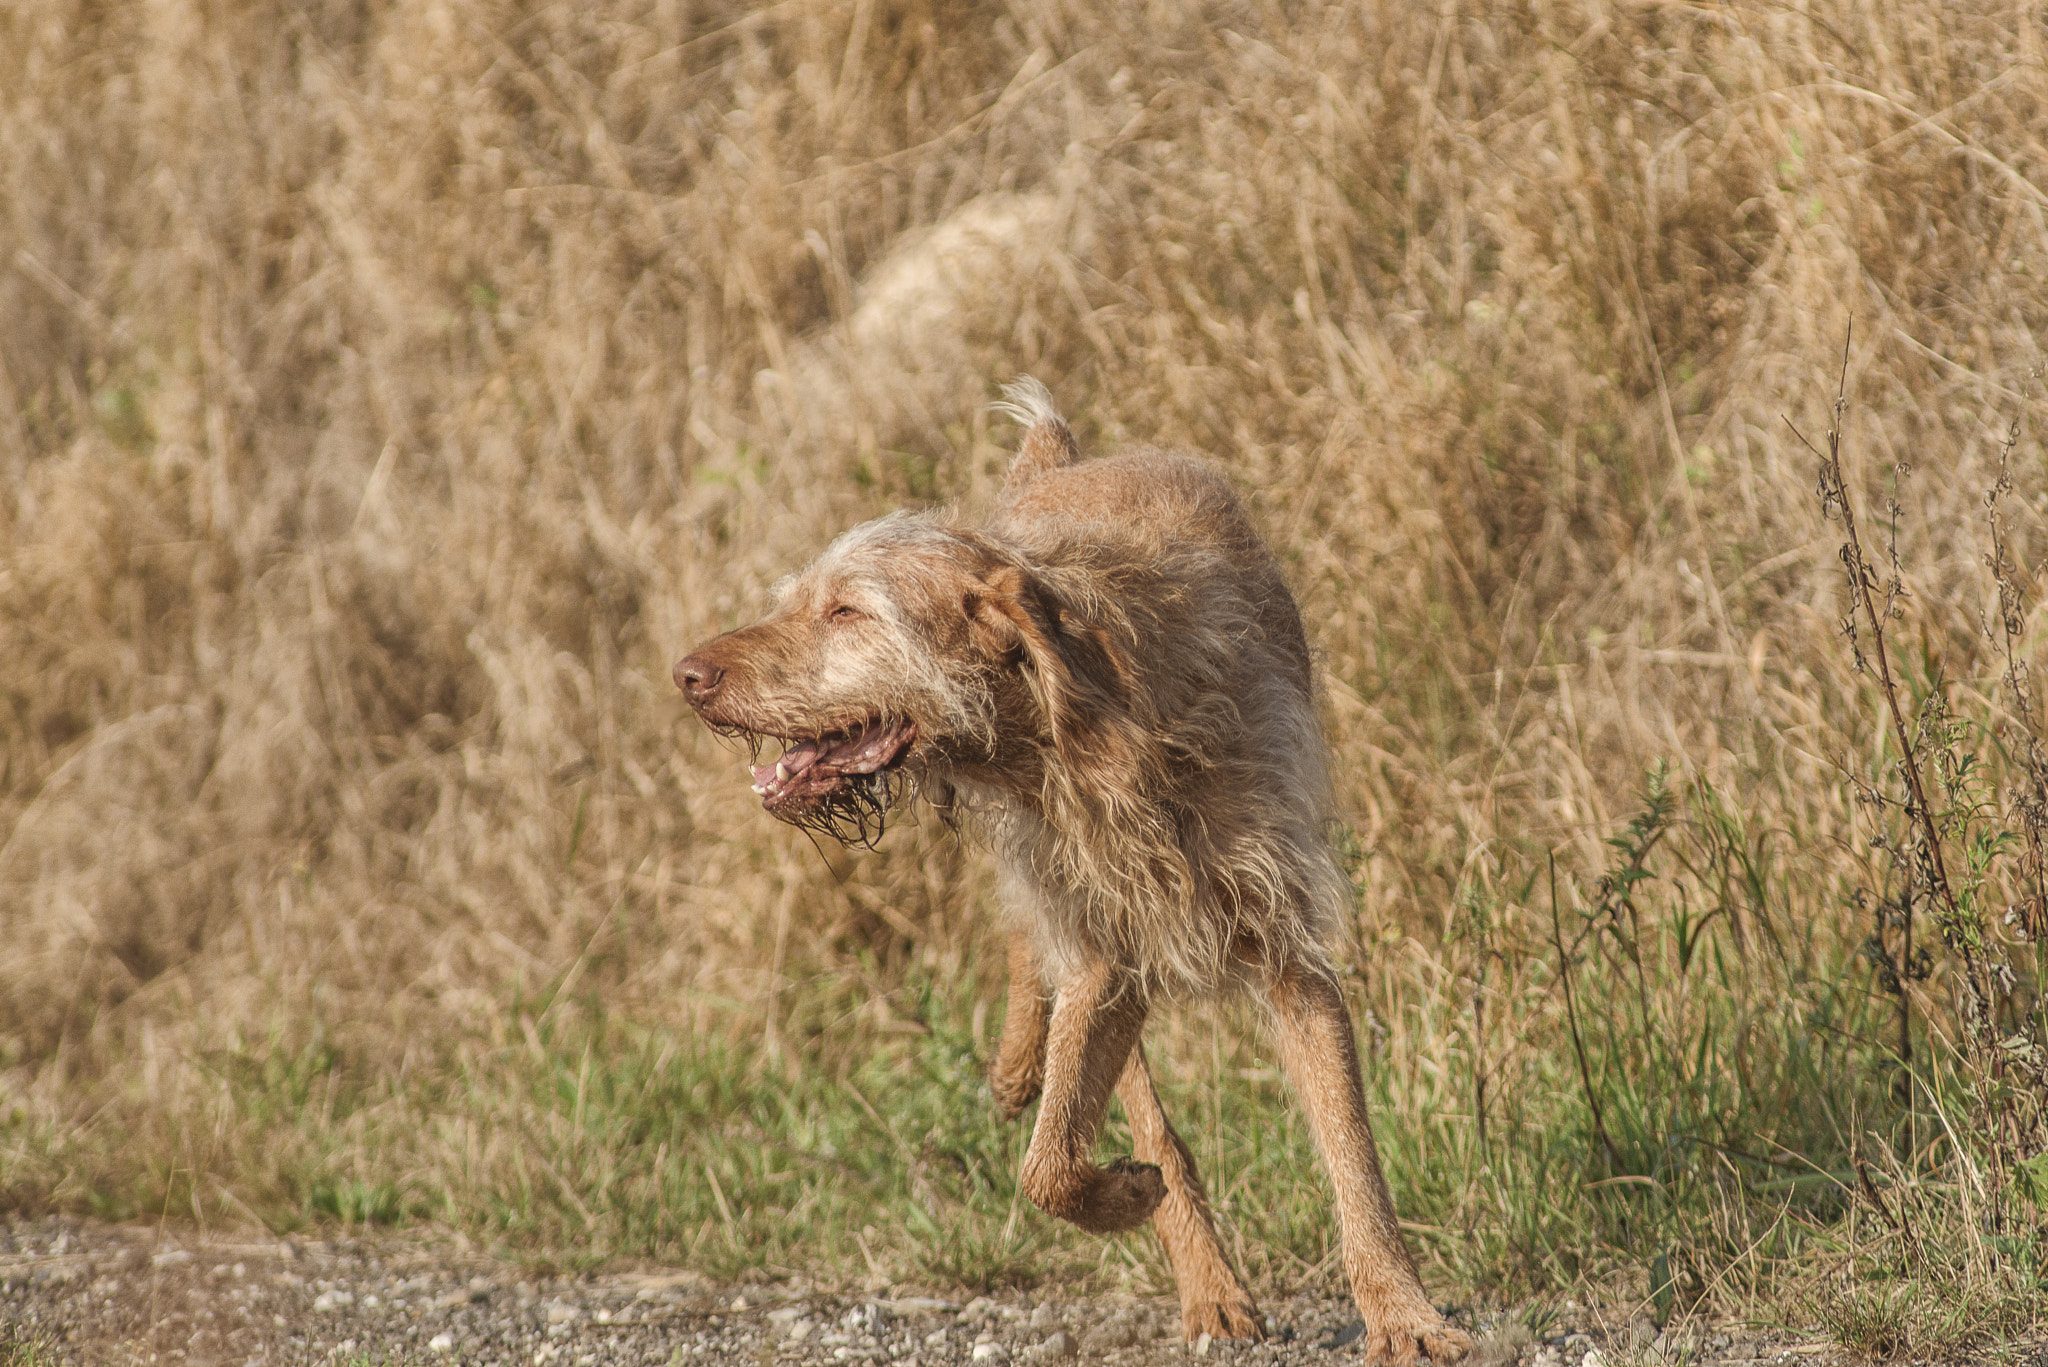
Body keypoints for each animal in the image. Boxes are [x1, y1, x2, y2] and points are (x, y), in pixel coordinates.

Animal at [679, 379, 1466, 1360]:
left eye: (847, 612)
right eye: (799, 602)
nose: (688, 674)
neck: (1099, 736)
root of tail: (1068, 466)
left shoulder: (1290, 957)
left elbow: (1352, 1151)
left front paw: (1402, 1311)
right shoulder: (1102, 958)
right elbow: (1050, 1167)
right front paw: (1128, 1189)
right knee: (1085, 1042)